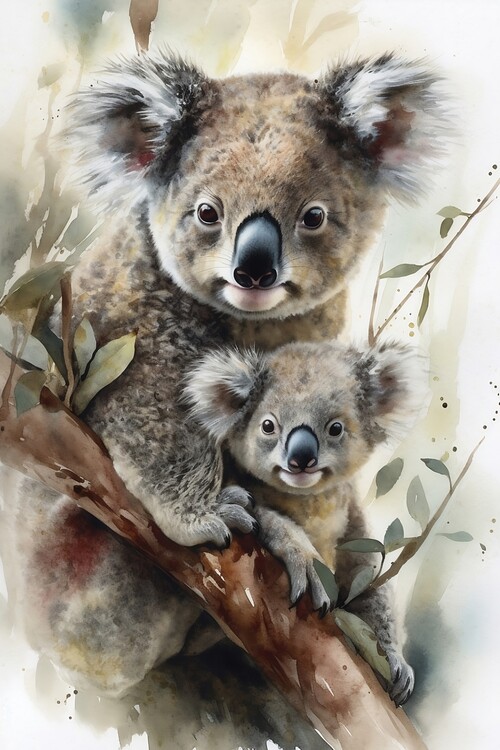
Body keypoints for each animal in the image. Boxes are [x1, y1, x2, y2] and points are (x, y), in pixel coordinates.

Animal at [10, 50, 448, 697]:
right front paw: (218, 519)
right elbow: (157, 417)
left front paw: (388, 655)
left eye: (313, 216)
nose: (254, 269)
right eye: (207, 213)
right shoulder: (131, 328)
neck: (253, 325)